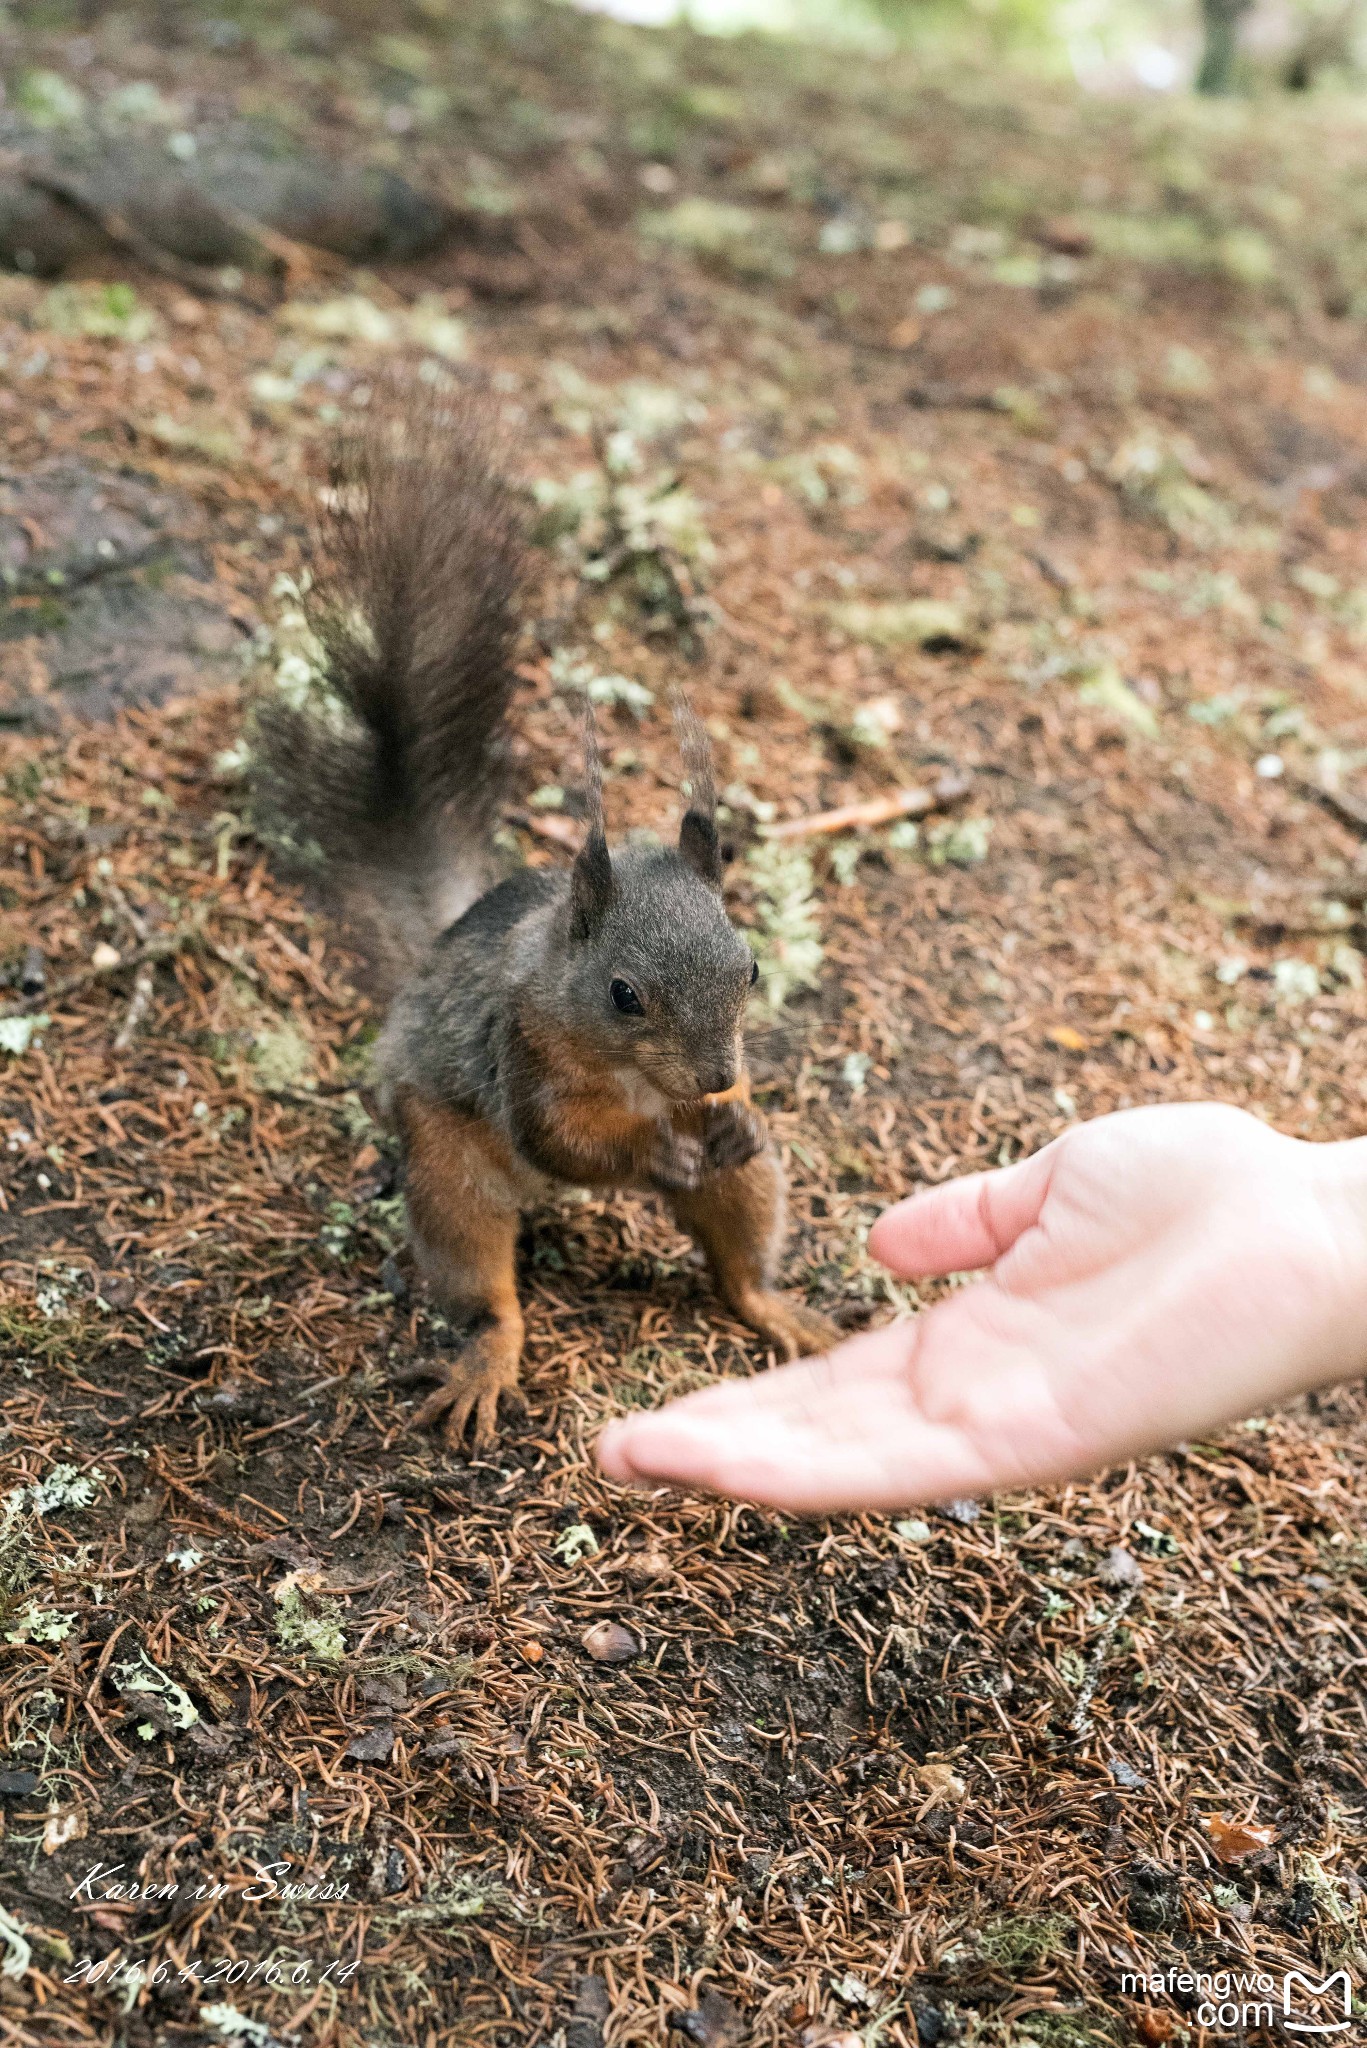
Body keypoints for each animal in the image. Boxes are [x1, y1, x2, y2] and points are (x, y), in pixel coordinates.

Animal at [251, 399, 840, 1449]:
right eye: (623, 994)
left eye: (752, 970)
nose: (715, 1080)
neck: (636, 1079)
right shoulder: (517, 1052)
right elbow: (563, 1141)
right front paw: (648, 1153)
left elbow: (721, 1127)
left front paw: (729, 1114)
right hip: (449, 1171)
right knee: (486, 1286)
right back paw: (486, 1360)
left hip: (746, 1186)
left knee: (739, 1253)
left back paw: (778, 1304)